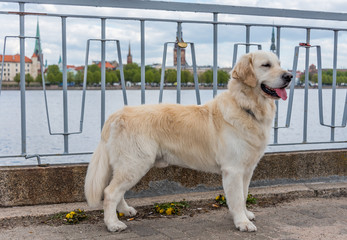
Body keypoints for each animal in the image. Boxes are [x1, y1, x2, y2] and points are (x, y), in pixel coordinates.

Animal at [85, 51, 294, 232]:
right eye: (266, 65)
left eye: (279, 64)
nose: (290, 76)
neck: (246, 107)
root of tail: (118, 113)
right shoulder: (233, 170)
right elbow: (236, 198)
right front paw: (242, 222)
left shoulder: (247, 169)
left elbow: (243, 196)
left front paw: (245, 214)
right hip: (135, 163)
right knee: (110, 192)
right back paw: (113, 224)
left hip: (128, 165)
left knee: (115, 190)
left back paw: (125, 210)